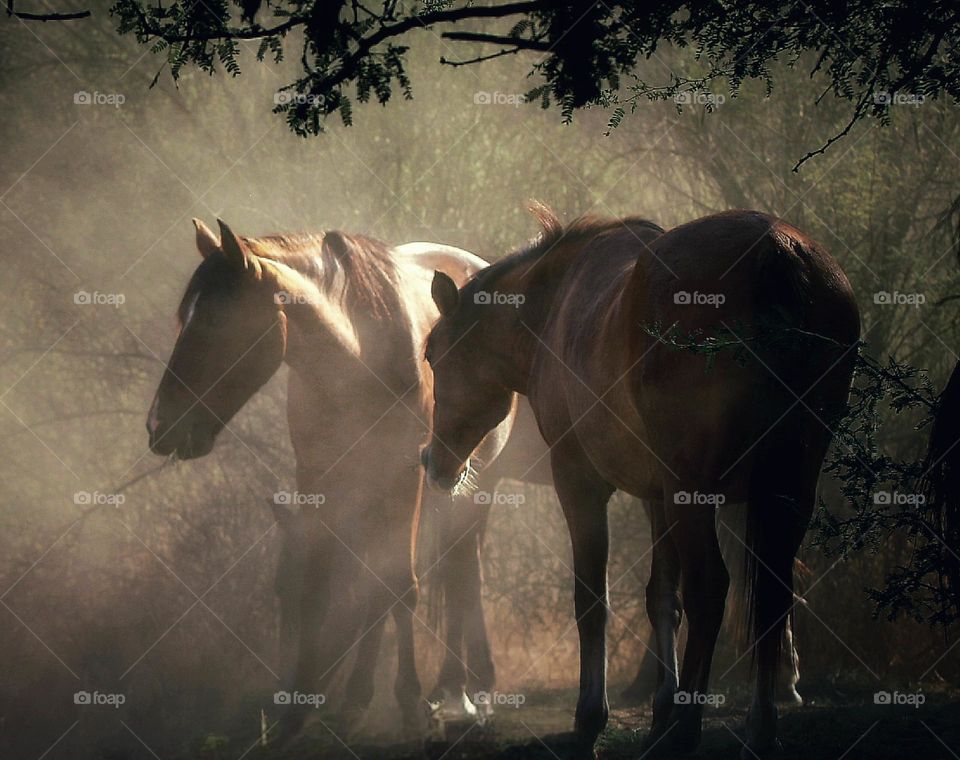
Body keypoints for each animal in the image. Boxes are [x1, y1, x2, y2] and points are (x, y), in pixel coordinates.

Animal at [145, 219, 514, 741]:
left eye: (216, 322)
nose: (160, 426)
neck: (356, 356)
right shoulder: (319, 479)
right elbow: (323, 585)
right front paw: (300, 708)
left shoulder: (405, 481)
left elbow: (401, 587)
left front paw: (409, 704)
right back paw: (359, 697)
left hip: (464, 490)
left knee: (457, 572)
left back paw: (456, 695)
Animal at [421, 206, 859, 757]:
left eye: (435, 354)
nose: (434, 461)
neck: (554, 306)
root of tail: (776, 250)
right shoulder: (658, 497)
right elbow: (661, 598)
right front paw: (659, 711)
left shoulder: (580, 482)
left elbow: (592, 599)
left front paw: (592, 718)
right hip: (785, 487)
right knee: (772, 596)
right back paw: (758, 728)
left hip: (699, 494)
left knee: (711, 588)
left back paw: (689, 732)